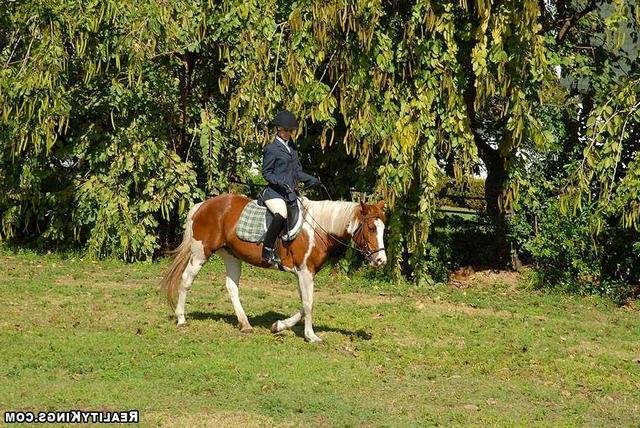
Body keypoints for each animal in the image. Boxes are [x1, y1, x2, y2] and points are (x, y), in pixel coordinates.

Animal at [162, 194, 388, 344]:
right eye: (371, 228)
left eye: (383, 228)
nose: (381, 261)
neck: (318, 229)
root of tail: (202, 205)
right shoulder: (305, 272)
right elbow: (308, 304)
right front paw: (311, 336)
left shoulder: (303, 274)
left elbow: (304, 304)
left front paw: (278, 326)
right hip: (200, 254)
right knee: (186, 280)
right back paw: (181, 319)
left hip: (231, 256)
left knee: (231, 287)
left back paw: (245, 325)